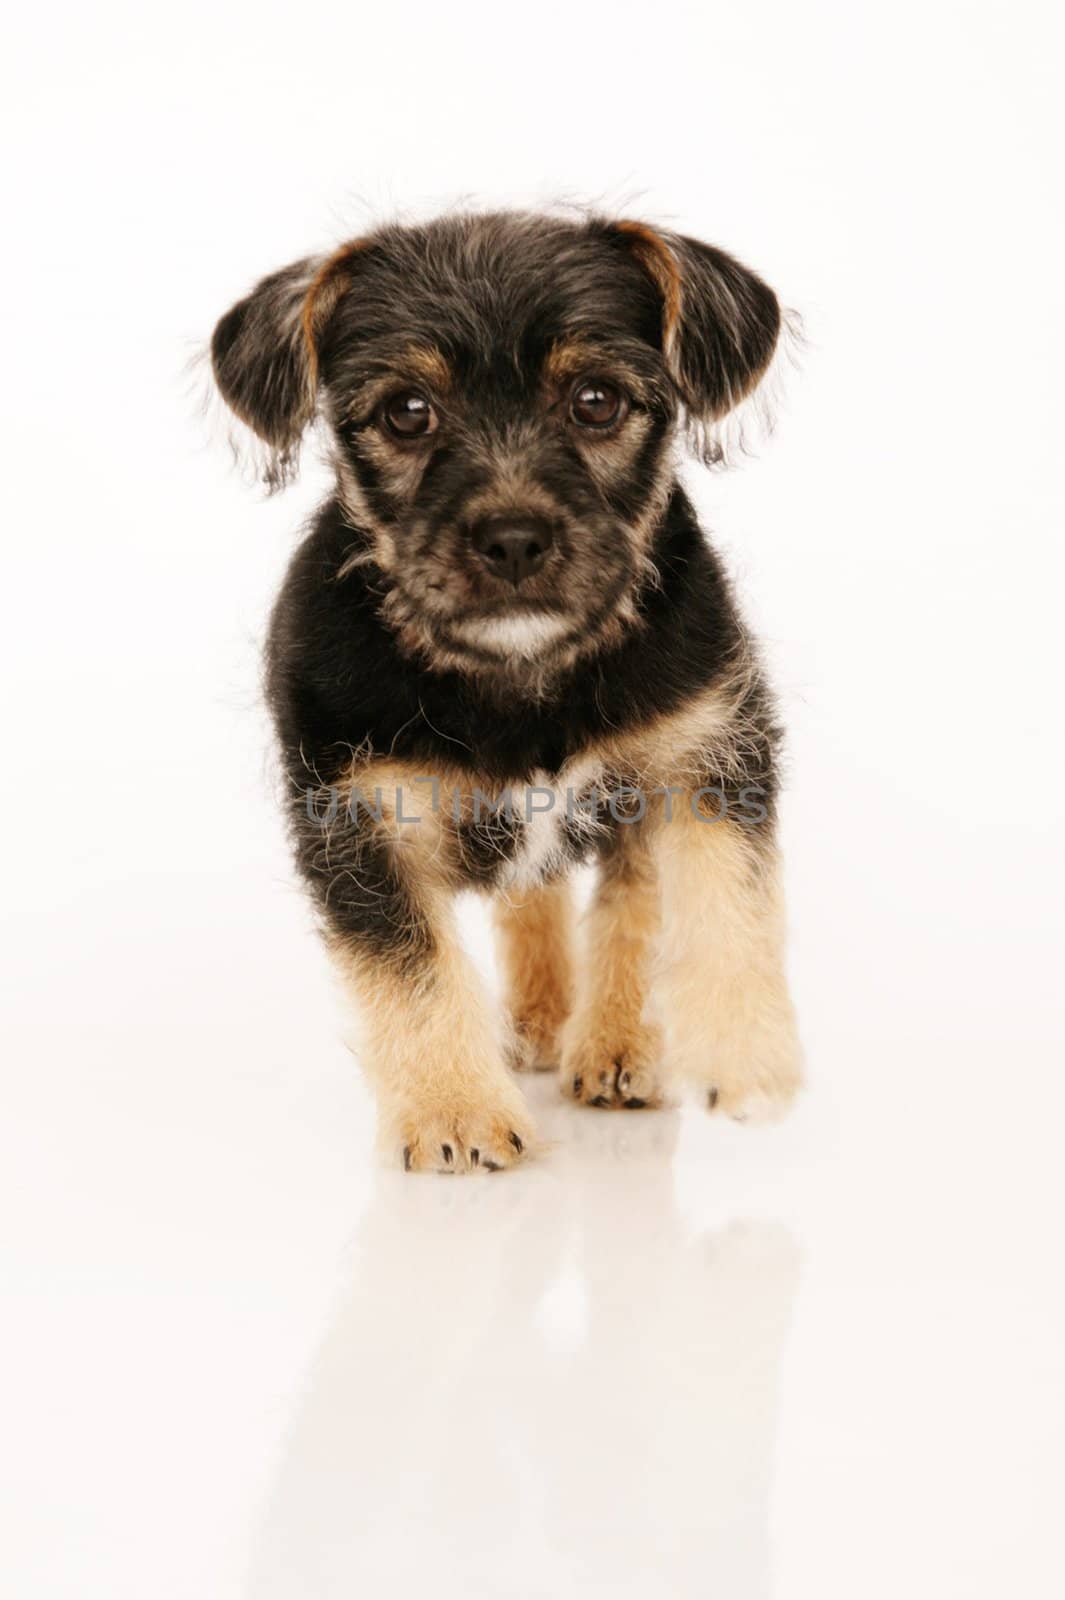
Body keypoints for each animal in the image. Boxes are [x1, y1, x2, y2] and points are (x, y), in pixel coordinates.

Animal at [211, 209, 799, 1177]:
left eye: (596, 401)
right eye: (407, 412)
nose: (513, 539)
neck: (520, 676)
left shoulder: (704, 749)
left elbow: (718, 899)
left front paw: (744, 1054)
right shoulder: (361, 818)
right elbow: (413, 968)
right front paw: (455, 1113)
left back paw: (614, 1043)